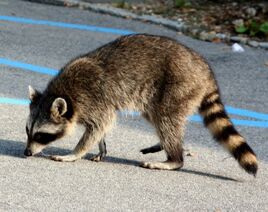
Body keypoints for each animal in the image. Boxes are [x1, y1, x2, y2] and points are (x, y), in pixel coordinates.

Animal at [24, 33, 258, 176]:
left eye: (41, 135)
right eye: (28, 130)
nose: (26, 153)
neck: (63, 93)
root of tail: (205, 70)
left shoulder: (94, 99)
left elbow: (100, 124)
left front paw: (75, 152)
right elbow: (101, 127)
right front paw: (101, 145)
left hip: (179, 87)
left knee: (166, 120)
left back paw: (174, 158)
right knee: (157, 117)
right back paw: (165, 145)